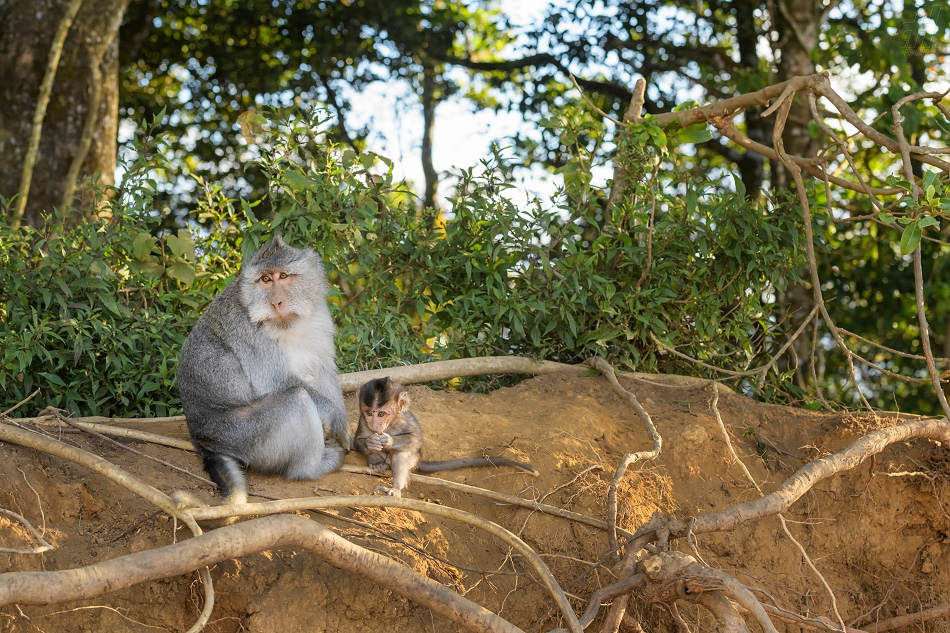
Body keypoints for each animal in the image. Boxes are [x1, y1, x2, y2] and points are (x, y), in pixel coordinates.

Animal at [177, 235, 352, 506]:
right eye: (265, 279)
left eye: (283, 276)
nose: (276, 302)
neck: (288, 324)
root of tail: (202, 441)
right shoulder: (249, 332)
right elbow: (276, 382)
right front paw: (333, 416)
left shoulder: (319, 316)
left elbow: (322, 369)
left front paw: (342, 423)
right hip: (242, 436)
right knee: (297, 399)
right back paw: (310, 469)